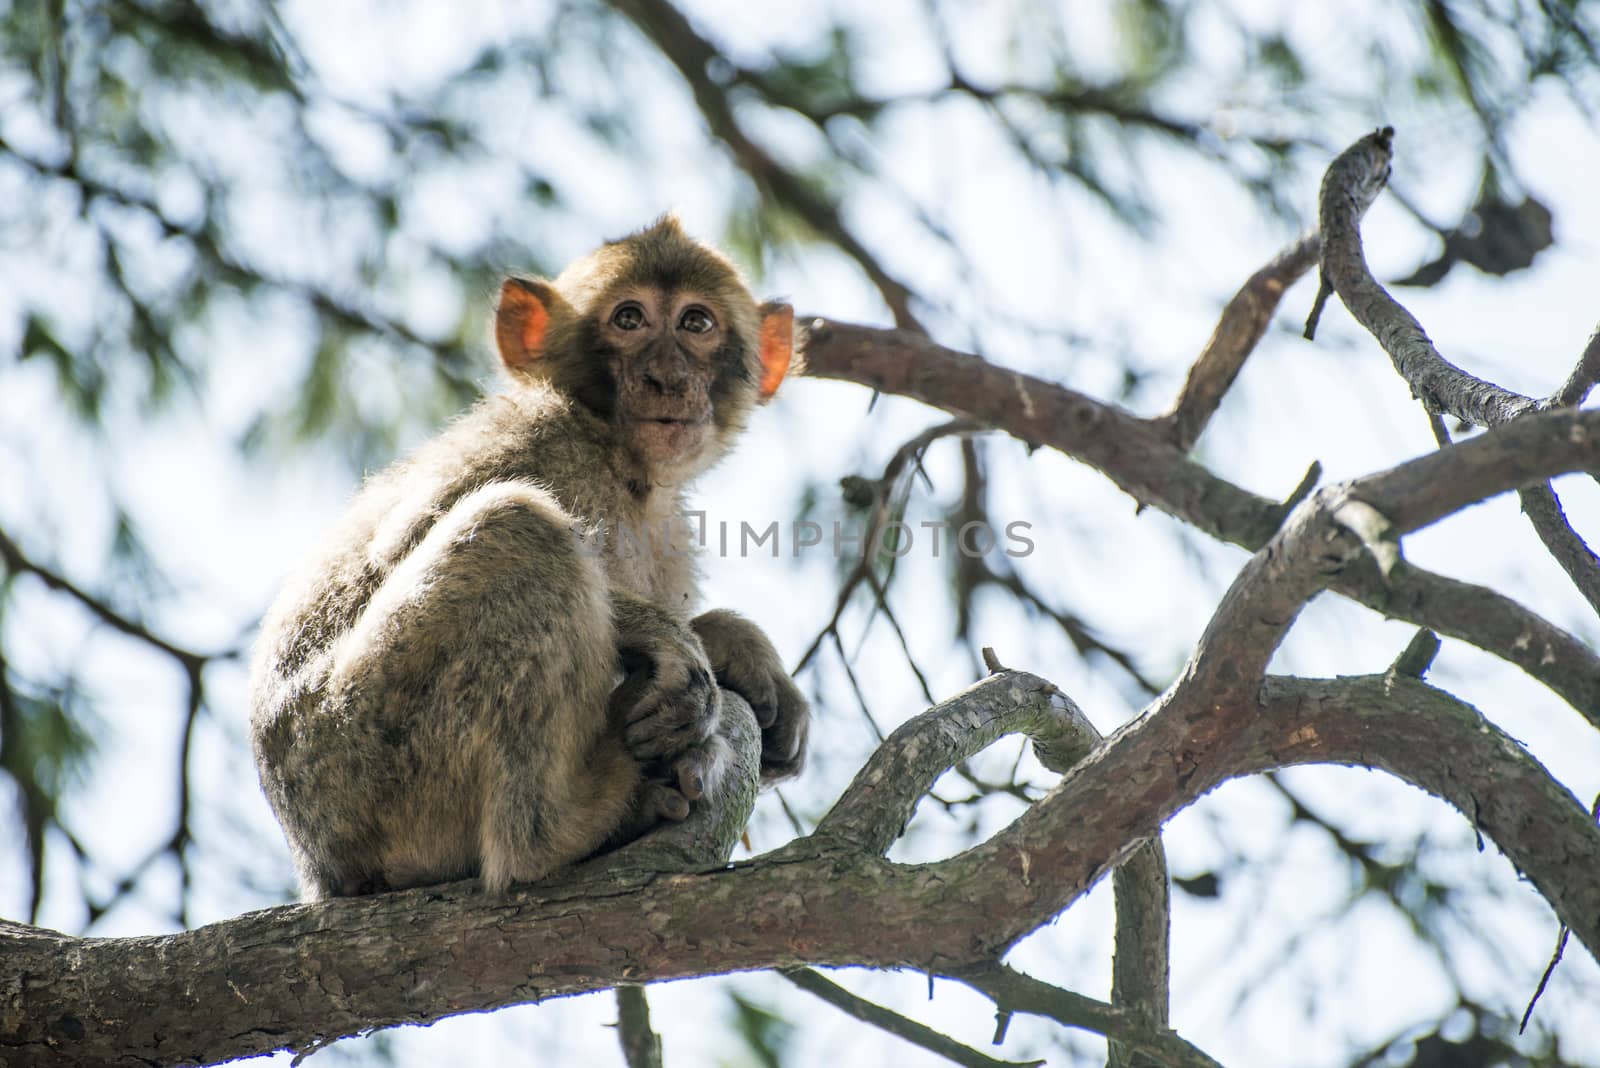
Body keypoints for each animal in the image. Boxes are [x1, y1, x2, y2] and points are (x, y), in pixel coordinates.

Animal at [251, 219, 812, 901]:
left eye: (696, 323)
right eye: (630, 319)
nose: (667, 378)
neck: (619, 460)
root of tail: (321, 868)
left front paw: (740, 649)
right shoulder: (539, 438)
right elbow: (401, 544)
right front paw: (671, 640)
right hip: (365, 760)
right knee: (517, 527)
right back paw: (559, 832)